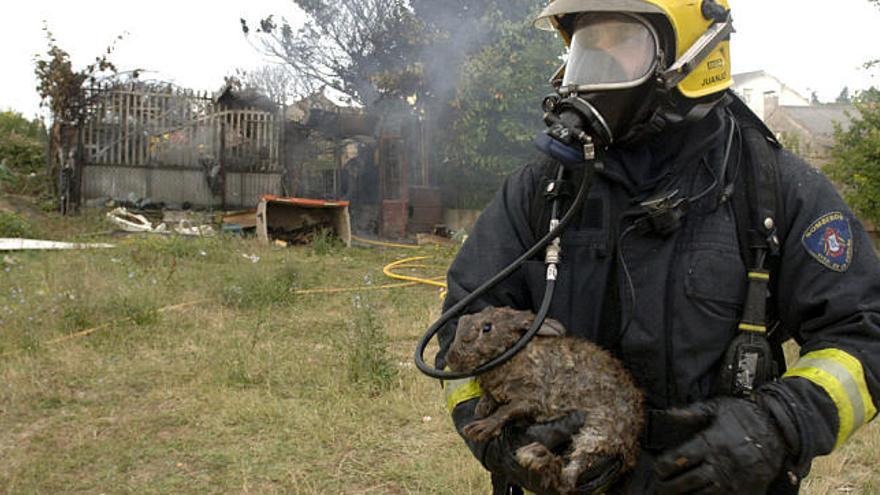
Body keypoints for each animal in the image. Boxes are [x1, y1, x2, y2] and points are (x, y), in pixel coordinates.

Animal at [444, 308, 644, 494]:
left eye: (487, 328)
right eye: (462, 320)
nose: (451, 359)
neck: (512, 355)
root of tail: (629, 449)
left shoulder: (534, 396)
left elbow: (507, 410)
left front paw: (480, 427)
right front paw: (482, 407)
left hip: (598, 432)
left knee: (568, 480)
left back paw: (536, 455)